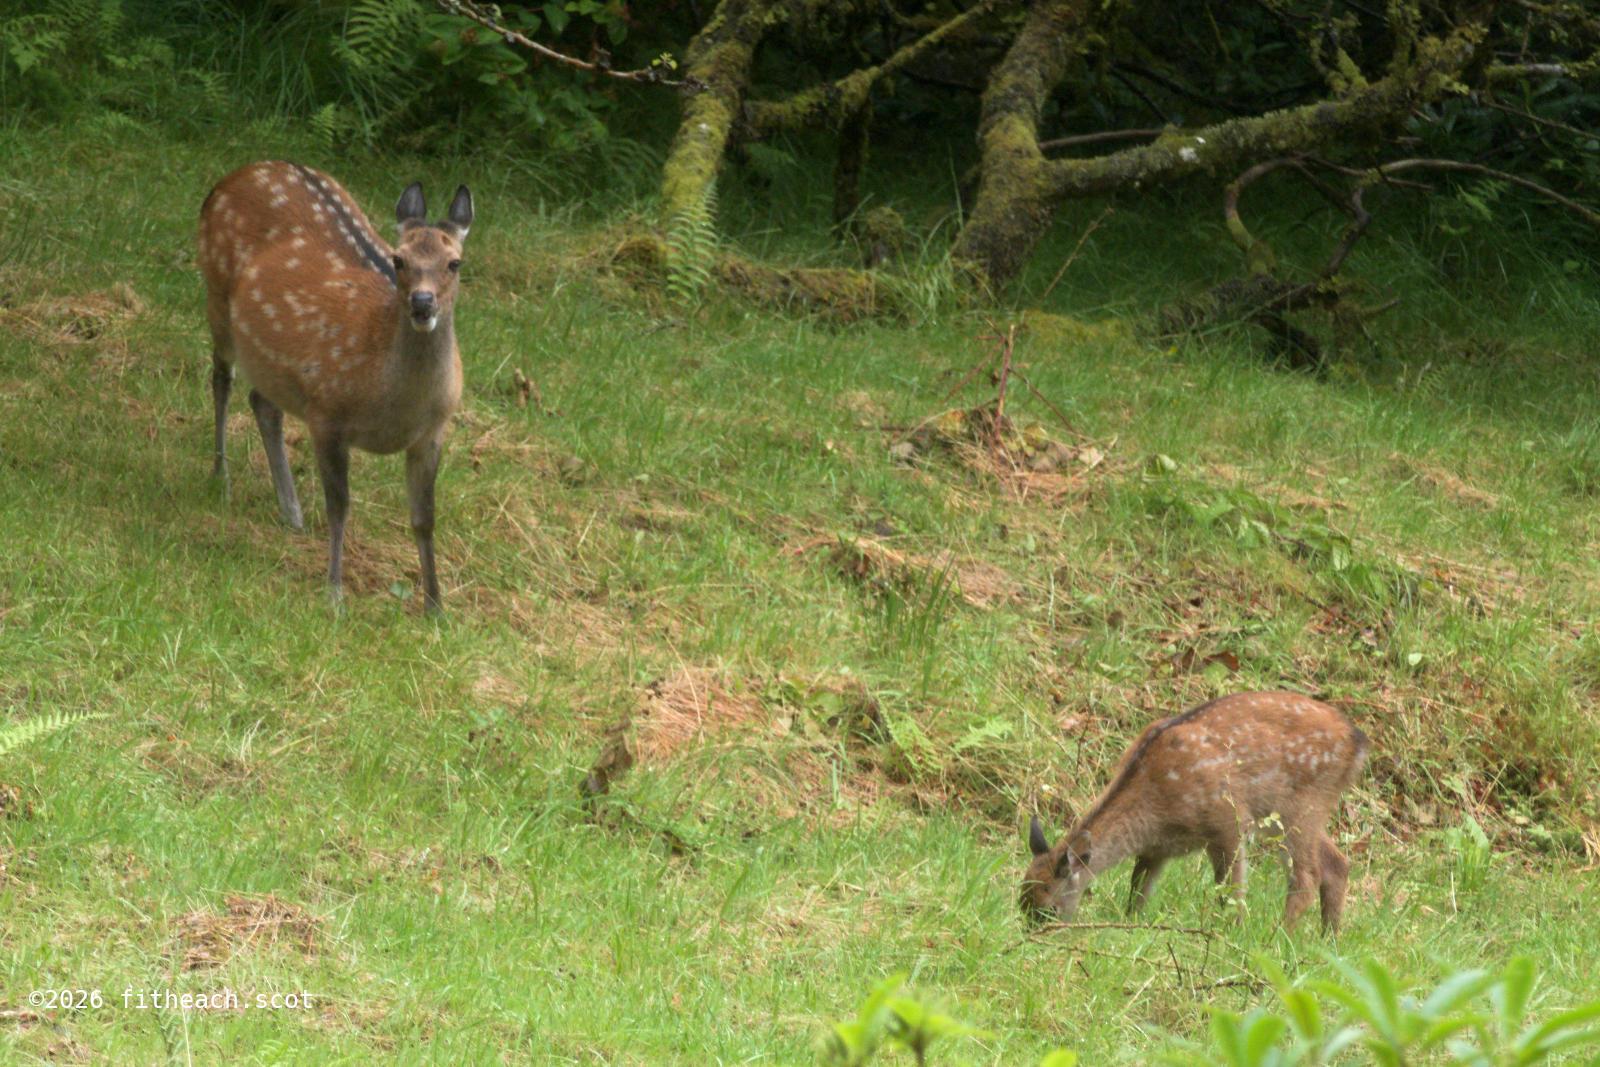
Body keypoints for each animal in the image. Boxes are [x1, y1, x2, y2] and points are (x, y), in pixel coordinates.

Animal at [198, 161, 473, 613]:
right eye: (398, 259)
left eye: (455, 263)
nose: (422, 303)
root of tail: (235, 175)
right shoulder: (327, 413)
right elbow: (340, 506)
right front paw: (334, 593)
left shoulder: (433, 432)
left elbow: (425, 517)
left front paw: (436, 607)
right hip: (216, 292)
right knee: (222, 378)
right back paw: (221, 476)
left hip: (273, 358)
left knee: (263, 402)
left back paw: (291, 512)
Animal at [1021, 691, 1369, 933]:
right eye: (1022, 901)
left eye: (1049, 908)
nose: (1035, 936)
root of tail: (1358, 742)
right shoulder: (1155, 850)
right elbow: (1137, 891)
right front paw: (1131, 924)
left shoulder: (1228, 821)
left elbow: (1230, 890)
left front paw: (1230, 932)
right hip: (1292, 813)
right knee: (1337, 863)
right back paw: (1328, 941)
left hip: (1301, 804)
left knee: (1307, 875)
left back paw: (1279, 936)